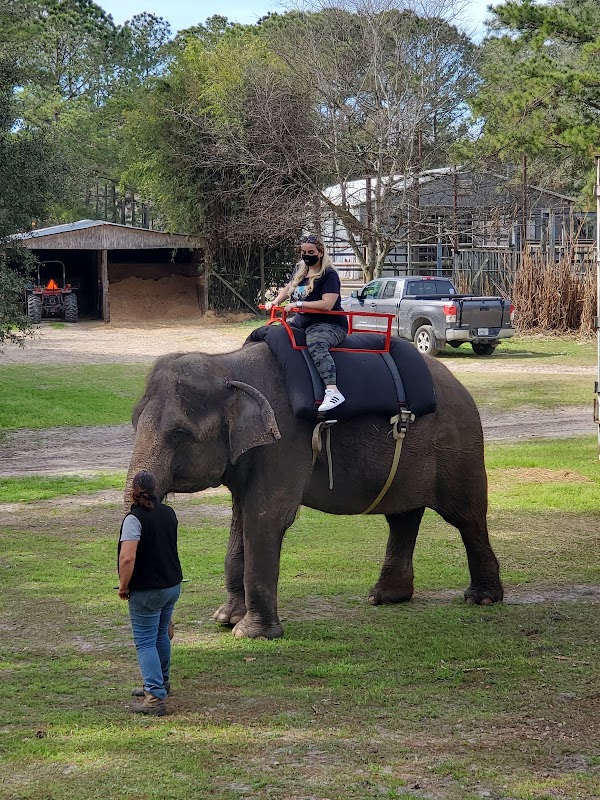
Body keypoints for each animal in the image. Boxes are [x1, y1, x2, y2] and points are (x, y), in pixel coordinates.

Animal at [125, 338, 503, 639]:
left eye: (179, 434)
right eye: (133, 421)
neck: (227, 364)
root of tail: (459, 383)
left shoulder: (286, 440)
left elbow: (266, 518)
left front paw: (250, 634)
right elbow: (240, 520)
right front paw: (225, 619)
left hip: (458, 446)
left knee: (466, 516)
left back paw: (482, 598)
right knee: (402, 517)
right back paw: (384, 597)